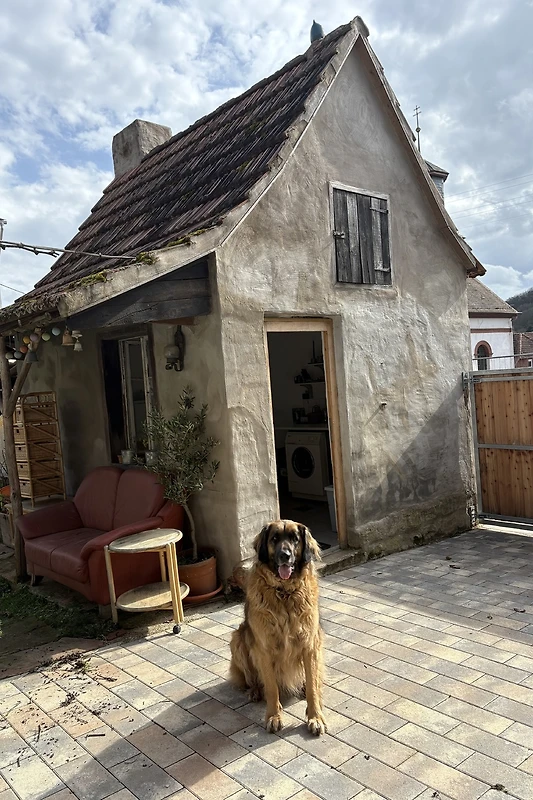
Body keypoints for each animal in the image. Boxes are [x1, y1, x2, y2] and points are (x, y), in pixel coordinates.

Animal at [229, 520, 326, 736]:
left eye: (295, 539)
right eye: (274, 539)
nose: (285, 555)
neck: (284, 593)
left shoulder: (310, 645)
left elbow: (313, 688)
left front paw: (315, 717)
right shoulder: (264, 649)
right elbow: (272, 688)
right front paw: (274, 716)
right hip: (238, 639)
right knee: (252, 679)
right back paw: (255, 690)